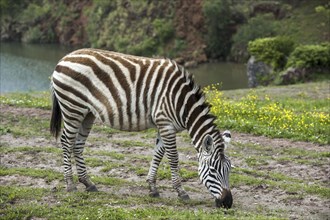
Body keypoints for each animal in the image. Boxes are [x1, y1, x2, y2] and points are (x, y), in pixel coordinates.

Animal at [50, 48, 233, 208]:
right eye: (212, 170)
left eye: (229, 169)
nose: (228, 203)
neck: (181, 102)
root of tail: (64, 58)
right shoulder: (165, 124)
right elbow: (173, 158)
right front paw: (181, 192)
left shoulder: (164, 125)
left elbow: (158, 155)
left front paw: (152, 188)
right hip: (73, 107)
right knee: (67, 142)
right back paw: (70, 185)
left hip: (87, 113)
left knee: (77, 144)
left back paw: (88, 183)